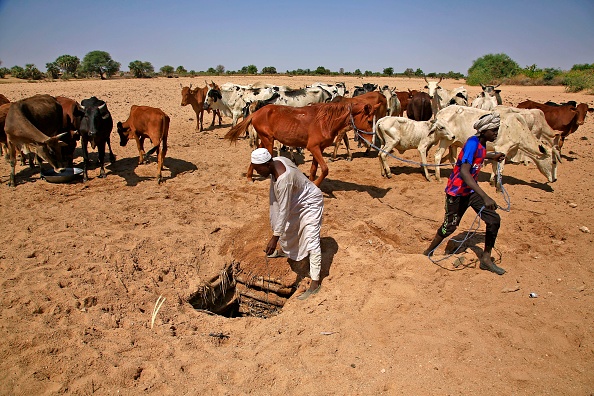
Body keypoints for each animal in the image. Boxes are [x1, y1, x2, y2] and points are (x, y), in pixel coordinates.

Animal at [224, 100, 376, 187]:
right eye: (369, 121)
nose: (371, 141)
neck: (325, 122)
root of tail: (256, 113)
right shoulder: (313, 147)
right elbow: (325, 169)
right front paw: (316, 185)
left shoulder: (318, 149)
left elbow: (314, 169)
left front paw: (312, 182)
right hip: (268, 140)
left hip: (266, 139)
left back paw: (249, 177)